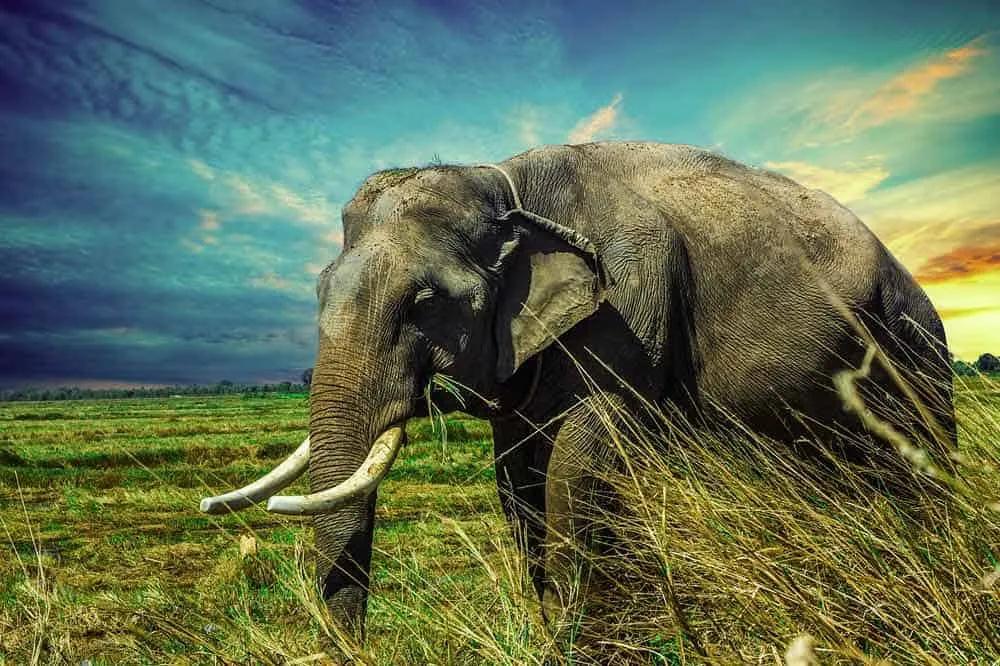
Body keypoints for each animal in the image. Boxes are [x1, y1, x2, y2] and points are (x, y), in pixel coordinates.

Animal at [200, 141, 955, 646]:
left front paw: (576, 640)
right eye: (319, 291)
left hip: (915, 346)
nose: (355, 649)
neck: (503, 181)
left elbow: (580, 458)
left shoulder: (631, 301)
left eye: (423, 303)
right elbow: (516, 477)